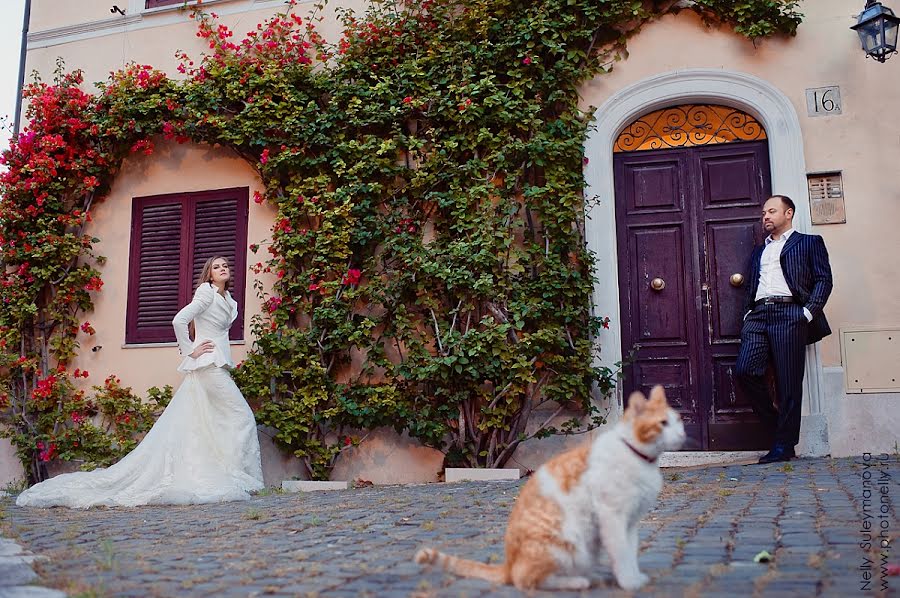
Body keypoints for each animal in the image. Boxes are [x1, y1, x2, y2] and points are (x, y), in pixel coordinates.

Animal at [416, 386, 688, 592]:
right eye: (663, 423)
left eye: (678, 421)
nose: (683, 435)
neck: (637, 455)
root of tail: (508, 564)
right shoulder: (613, 517)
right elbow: (621, 553)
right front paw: (629, 583)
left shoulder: (630, 522)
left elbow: (629, 552)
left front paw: (634, 577)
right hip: (567, 544)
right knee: (525, 580)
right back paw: (577, 581)